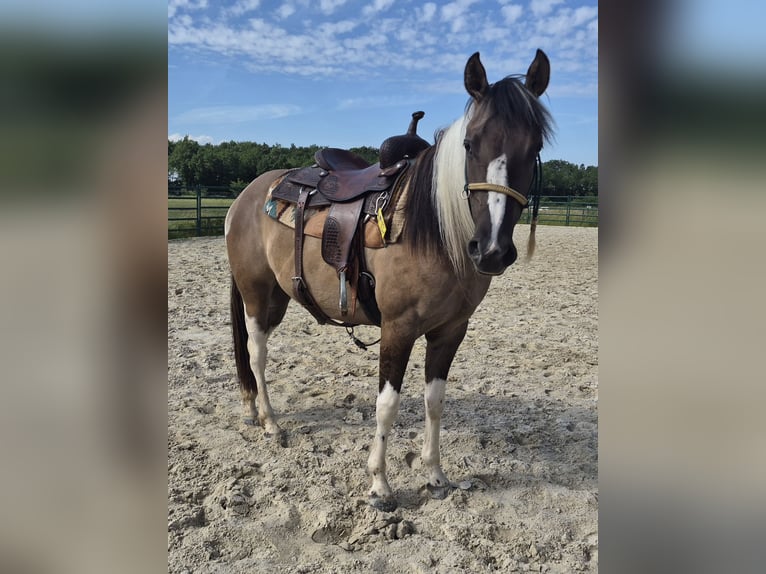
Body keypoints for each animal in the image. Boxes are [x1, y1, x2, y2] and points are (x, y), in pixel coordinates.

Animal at [225, 50, 553, 511]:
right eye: (470, 144)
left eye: (535, 146)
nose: (490, 250)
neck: (433, 230)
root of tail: (245, 197)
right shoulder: (398, 328)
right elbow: (387, 406)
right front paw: (379, 484)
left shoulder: (451, 331)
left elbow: (434, 400)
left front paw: (435, 474)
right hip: (254, 294)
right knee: (257, 354)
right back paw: (271, 422)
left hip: (278, 297)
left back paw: (254, 410)